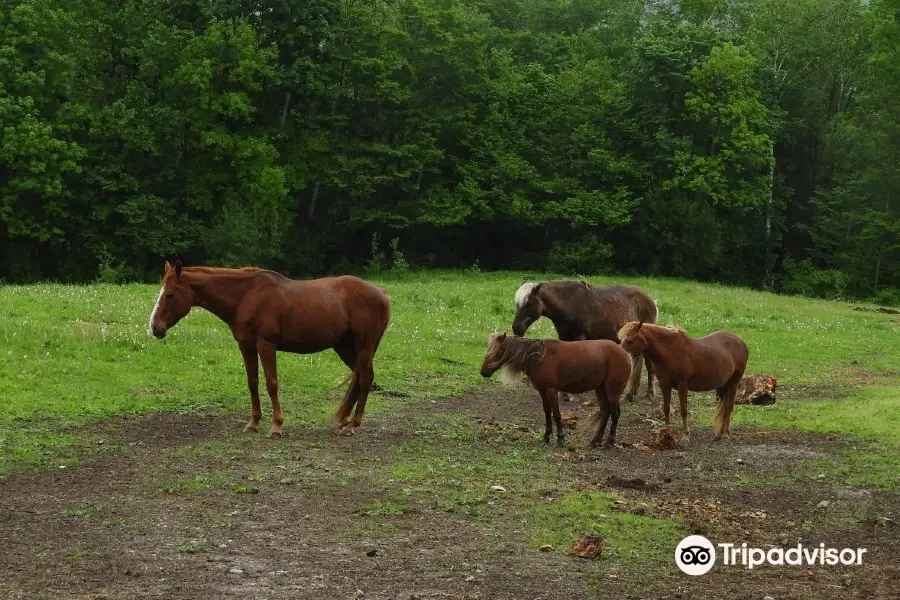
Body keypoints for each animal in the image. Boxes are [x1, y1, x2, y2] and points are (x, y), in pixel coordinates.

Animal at [148, 260, 390, 438]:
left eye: (170, 294)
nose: (155, 328)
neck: (246, 296)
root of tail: (382, 294)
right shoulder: (246, 345)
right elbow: (252, 382)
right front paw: (253, 423)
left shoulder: (266, 345)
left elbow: (271, 384)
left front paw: (276, 426)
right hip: (346, 347)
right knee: (360, 378)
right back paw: (345, 420)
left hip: (364, 345)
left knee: (365, 378)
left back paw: (353, 424)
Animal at [478, 332, 632, 450]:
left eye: (497, 352)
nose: (483, 372)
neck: (539, 357)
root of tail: (625, 354)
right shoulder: (542, 390)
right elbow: (547, 412)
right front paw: (546, 437)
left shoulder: (552, 390)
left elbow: (556, 414)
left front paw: (560, 440)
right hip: (601, 389)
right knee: (606, 412)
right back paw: (595, 441)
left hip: (612, 391)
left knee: (614, 414)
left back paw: (609, 442)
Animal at [506, 282, 660, 404]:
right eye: (517, 305)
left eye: (529, 303)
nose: (516, 328)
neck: (569, 304)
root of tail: (650, 300)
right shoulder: (564, 338)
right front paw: (564, 395)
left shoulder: (579, 338)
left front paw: (575, 396)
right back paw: (630, 395)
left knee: (650, 366)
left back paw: (649, 394)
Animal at [620, 322, 752, 442]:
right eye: (621, 339)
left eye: (630, 341)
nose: (621, 356)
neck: (670, 351)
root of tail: (741, 342)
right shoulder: (664, 385)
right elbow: (666, 409)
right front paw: (666, 431)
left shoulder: (682, 385)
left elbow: (683, 410)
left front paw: (685, 435)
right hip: (722, 385)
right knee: (724, 408)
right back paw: (720, 434)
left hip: (734, 383)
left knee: (729, 408)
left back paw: (724, 434)